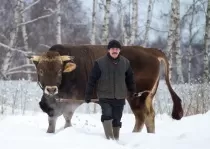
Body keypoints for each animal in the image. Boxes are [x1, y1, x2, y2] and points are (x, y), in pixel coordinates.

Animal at [28, 44, 183, 133]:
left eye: (59, 71)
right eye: (41, 70)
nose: (51, 89)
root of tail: (150, 51)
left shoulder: (70, 100)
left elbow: (63, 116)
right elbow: (55, 117)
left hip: (136, 98)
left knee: (142, 116)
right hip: (147, 97)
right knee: (148, 116)